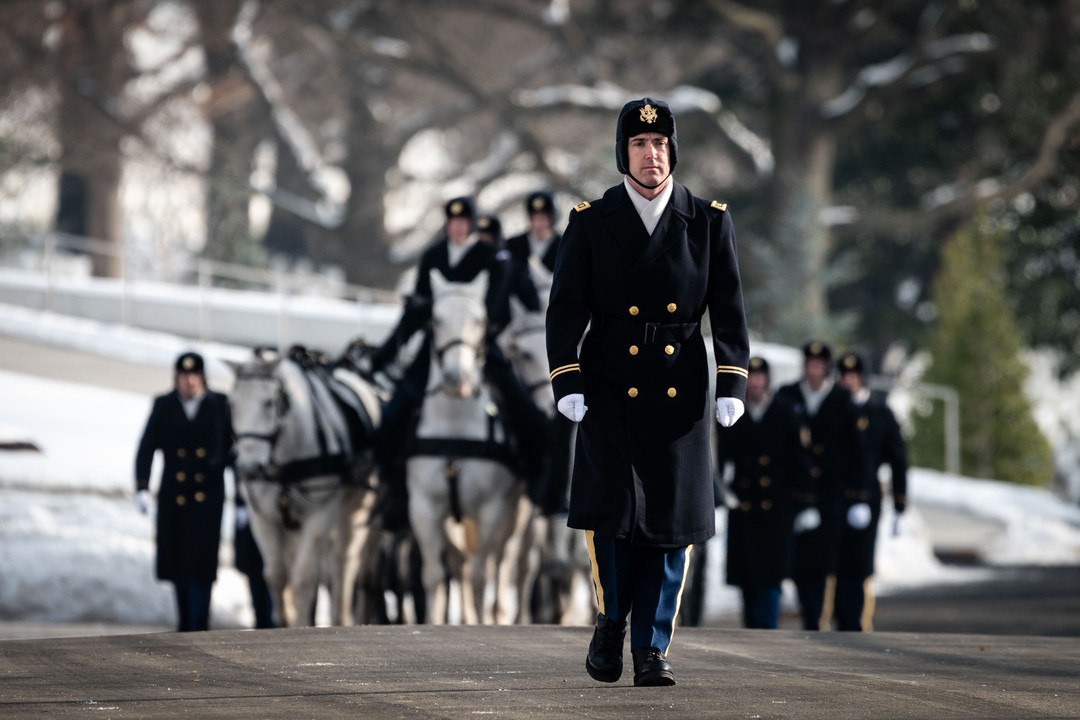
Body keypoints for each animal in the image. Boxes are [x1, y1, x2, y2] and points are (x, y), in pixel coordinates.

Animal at [225, 347, 382, 626]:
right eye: (232, 404)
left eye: (269, 402)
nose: (250, 469)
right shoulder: (263, 518)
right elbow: (276, 576)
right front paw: (283, 620)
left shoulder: (319, 517)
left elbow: (304, 578)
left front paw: (299, 624)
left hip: (357, 510)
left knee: (343, 563)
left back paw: (341, 616)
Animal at [406, 269, 522, 626]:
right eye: (435, 320)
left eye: (480, 321)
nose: (457, 380)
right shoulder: (424, 508)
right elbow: (434, 575)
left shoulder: (490, 509)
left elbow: (481, 574)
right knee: (460, 564)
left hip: (512, 516)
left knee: (499, 561)